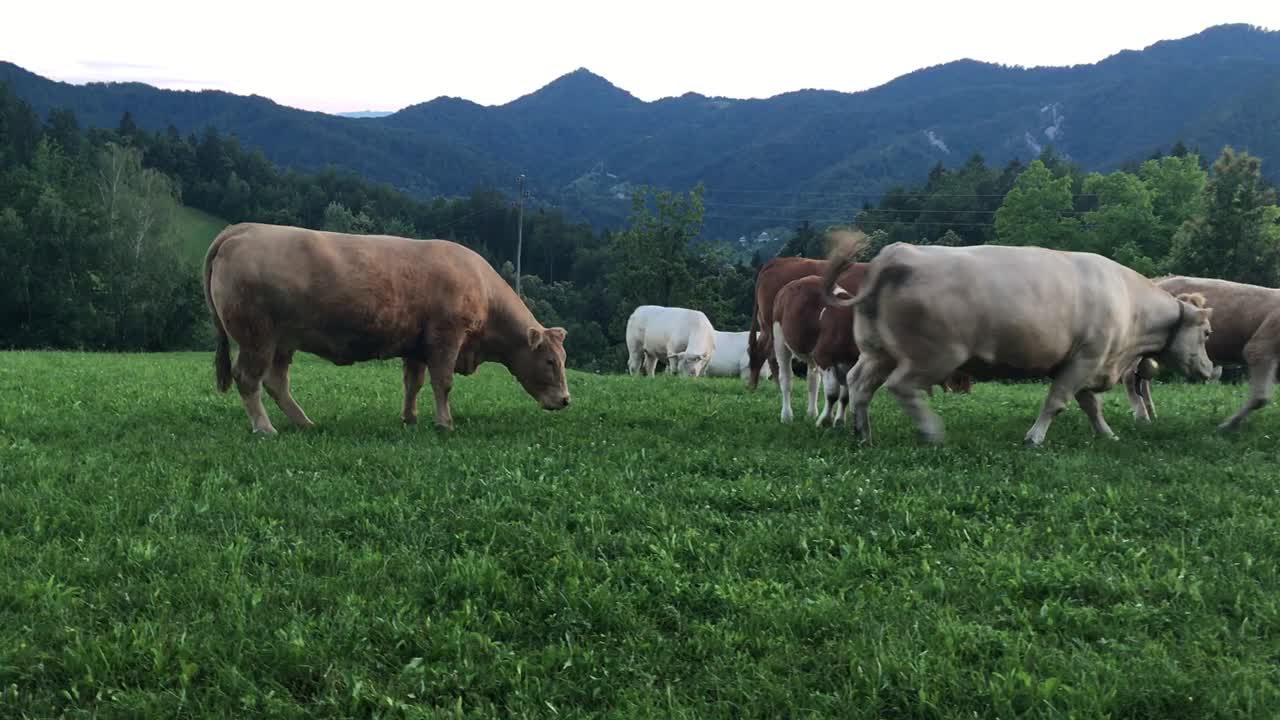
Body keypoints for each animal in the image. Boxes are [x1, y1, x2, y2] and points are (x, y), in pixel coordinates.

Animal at [203, 222, 570, 434]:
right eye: (550, 361)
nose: (566, 400)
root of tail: (243, 229)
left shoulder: (417, 346)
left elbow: (413, 383)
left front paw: (410, 418)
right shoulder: (446, 338)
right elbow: (443, 382)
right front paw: (445, 423)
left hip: (283, 341)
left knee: (276, 382)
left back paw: (304, 422)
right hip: (257, 336)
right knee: (248, 378)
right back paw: (264, 428)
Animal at [747, 256, 827, 388]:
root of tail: (776, 262)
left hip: (764, 325)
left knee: (759, 350)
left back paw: (753, 385)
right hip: (775, 327)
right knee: (772, 355)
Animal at [823, 238, 1216, 446]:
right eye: (1207, 333)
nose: (1211, 369)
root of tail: (896, 254)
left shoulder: (1082, 362)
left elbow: (1090, 405)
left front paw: (1106, 434)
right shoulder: (1085, 359)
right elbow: (1057, 401)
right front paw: (1034, 438)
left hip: (877, 351)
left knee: (859, 385)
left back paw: (863, 433)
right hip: (935, 355)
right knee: (901, 387)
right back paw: (931, 431)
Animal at [1124, 275, 1279, 431]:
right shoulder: (1259, 347)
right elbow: (1260, 398)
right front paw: (1227, 425)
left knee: (1143, 378)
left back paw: (1151, 414)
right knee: (1129, 375)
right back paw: (1143, 417)